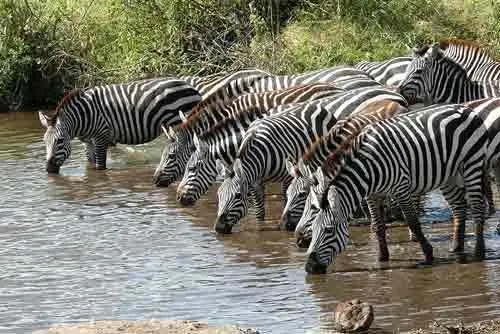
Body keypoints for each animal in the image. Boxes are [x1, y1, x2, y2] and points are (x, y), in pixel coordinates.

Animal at [38, 77, 201, 172]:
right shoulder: (88, 142)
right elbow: (91, 164)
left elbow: (100, 167)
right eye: (44, 141)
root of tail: (192, 87)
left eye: (60, 141)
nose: (48, 169)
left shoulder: (101, 137)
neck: (84, 117)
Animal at [214, 87, 406, 232]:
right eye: (218, 195)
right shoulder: (257, 179)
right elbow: (262, 205)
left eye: (237, 195)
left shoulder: (287, 175)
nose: (218, 228)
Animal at [304, 104, 492, 274]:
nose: (309, 268)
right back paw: (456, 248)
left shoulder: (400, 188)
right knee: (459, 208)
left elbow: (413, 222)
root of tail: (465, 108)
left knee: (477, 207)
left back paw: (479, 252)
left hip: (472, 164)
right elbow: (378, 225)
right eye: (313, 229)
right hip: (449, 175)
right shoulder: (372, 195)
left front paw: (428, 254)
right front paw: (382, 258)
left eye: (329, 230)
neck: (368, 169)